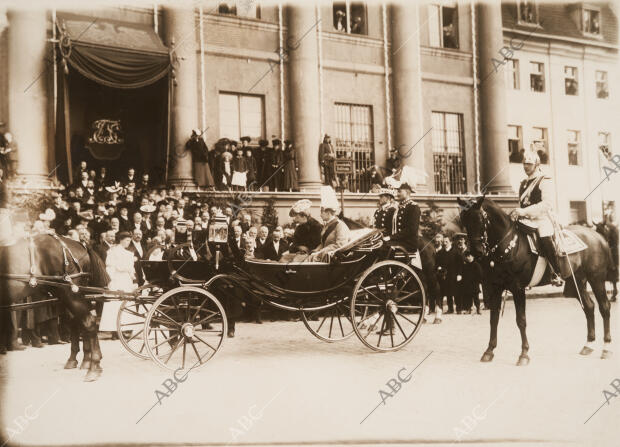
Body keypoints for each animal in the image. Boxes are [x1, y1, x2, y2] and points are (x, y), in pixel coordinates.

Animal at [0, 234, 109, 382]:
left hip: (70, 294)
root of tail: (79, 244)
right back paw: (85, 361)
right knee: (78, 323)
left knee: (88, 322)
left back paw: (93, 366)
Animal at [458, 194, 612, 366]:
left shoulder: (518, 288)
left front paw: (524, 354)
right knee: (589, 307)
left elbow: (521, 320)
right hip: (577, 281)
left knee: (604, 307)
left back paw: (606, 348)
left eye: (480, 219)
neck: (509, 245)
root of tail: (598, 236)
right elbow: (494, 319)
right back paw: (588, 345)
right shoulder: (496, 288)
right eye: (463, 220)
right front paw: (489, 351)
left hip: (596, 279)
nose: (474, 252)